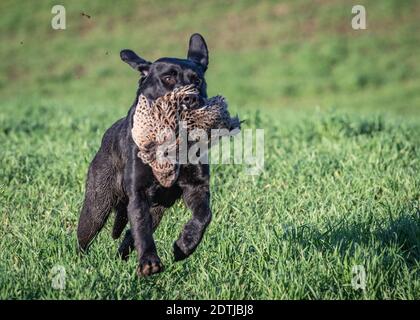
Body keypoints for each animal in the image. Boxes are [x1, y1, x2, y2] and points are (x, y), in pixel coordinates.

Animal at [76, 33, 210, 276]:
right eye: (167, 78)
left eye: (197, 80)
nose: (191, 99)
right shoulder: (138, 193)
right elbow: (142, 231)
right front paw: (149, 261)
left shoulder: (197, 186)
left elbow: (203, 216)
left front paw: (185, 245)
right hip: (97, 206)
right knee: (85, 237)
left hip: (156, 210)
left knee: (128, 237)